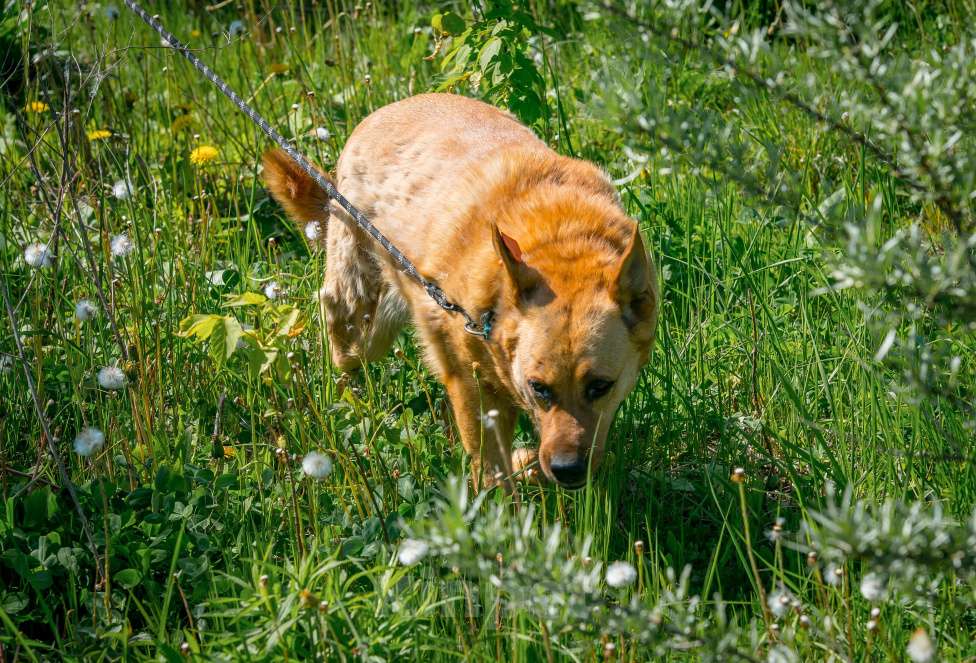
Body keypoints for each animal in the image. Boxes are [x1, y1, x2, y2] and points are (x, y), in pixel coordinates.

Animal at [262, 92, 656, 488]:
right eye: (539, 387)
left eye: (600, 386)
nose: (566, 470)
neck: (561, 239)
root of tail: (383, 112)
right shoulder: (472, 390)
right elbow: (493, 475)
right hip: (361, 324)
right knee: (340, 343)